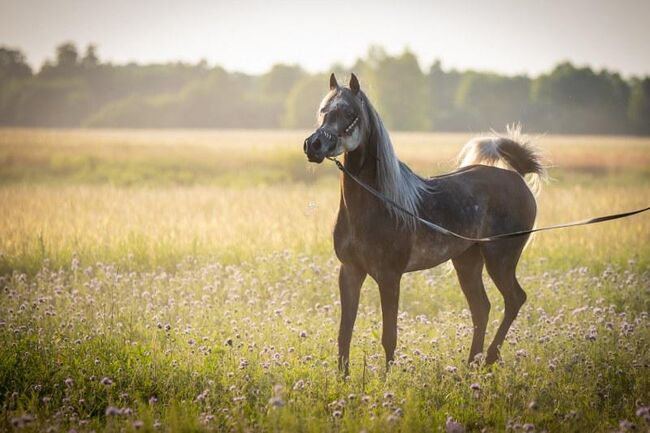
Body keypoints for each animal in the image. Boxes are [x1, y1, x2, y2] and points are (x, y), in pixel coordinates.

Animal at [302, 71, 544, 374]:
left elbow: (389, 336)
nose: (313, 145)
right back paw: (471, 366)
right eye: (323, 110)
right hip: (467, 261)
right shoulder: (350, 271)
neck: (378, 204)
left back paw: (488, 358)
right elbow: (344, 333)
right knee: (482, 308)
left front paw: (387, 379)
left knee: (514, 299)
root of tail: (516, 177)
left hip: (501, 259)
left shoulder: (389, 276)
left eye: (349, 112)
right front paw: (342, 379)